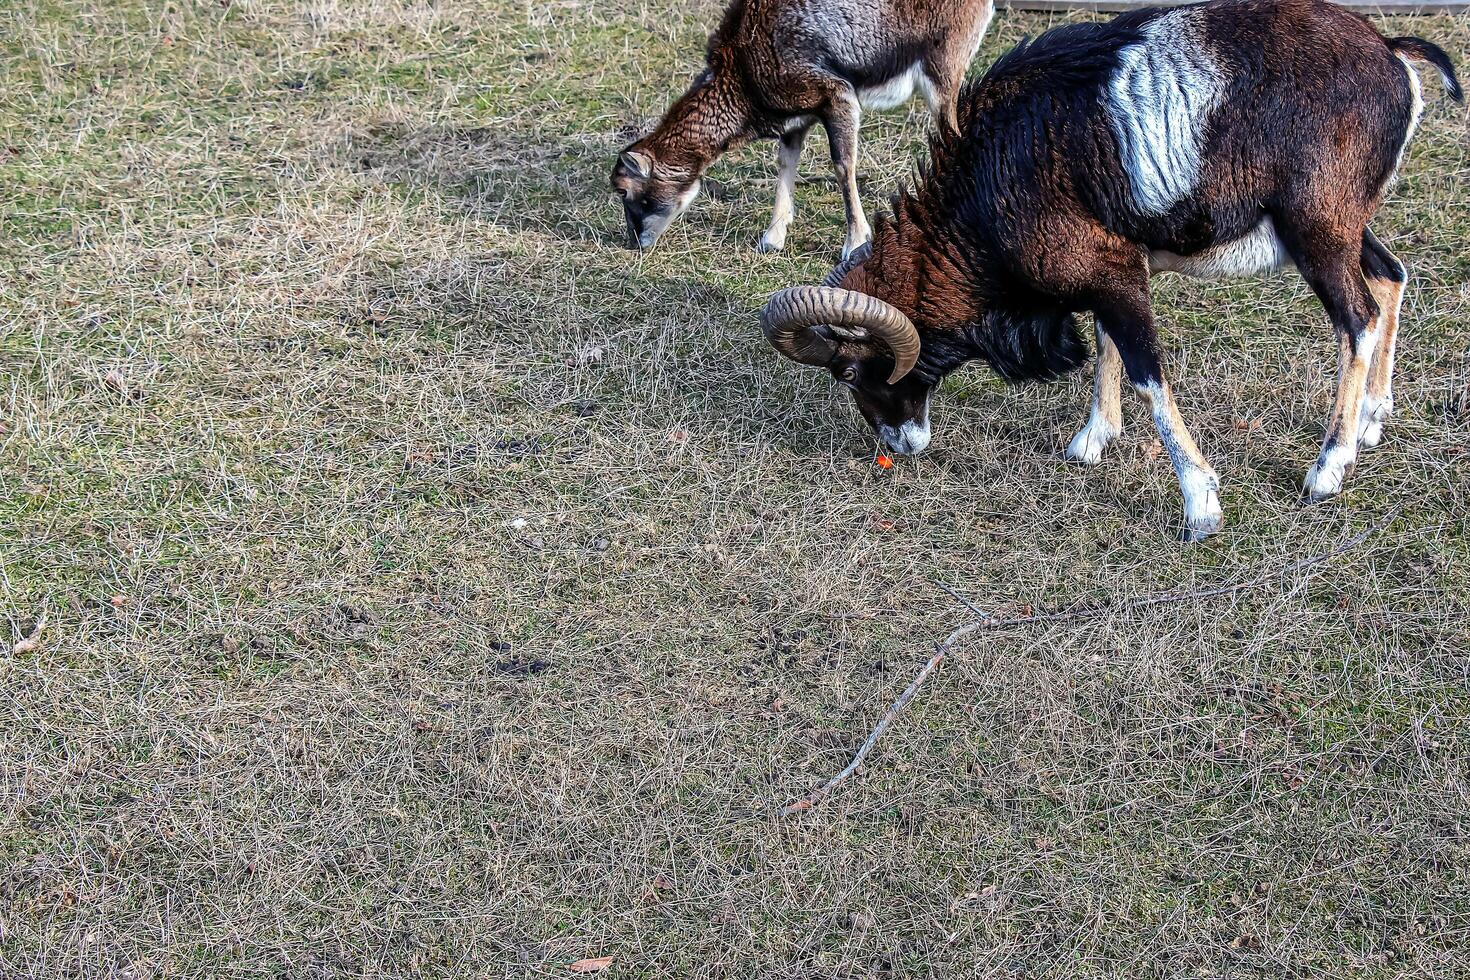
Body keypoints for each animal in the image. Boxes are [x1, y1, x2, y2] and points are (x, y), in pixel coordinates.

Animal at [602, 0, 993, 257]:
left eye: (623, 190)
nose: (634, 243)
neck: (744, 71)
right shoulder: (796, 121)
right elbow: (786, 166)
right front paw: (772, 239)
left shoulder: (837, 96)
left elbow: (843, 166)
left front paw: (855, 244)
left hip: (943, 72)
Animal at [758, 0, 1458, 540]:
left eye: (850, 369)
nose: (896, 445)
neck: (989, 183)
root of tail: (1391, 54)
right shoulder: (1106, 276)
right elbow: (1106, 349)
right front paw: (1092, 442)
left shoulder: (1117, 282)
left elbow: (1149, 376)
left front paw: (1201, 507)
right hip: (1340, 232)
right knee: (1391, 279)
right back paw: (1372, 422)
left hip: (1318, 235)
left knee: (1358, 319)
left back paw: (1328, 469)